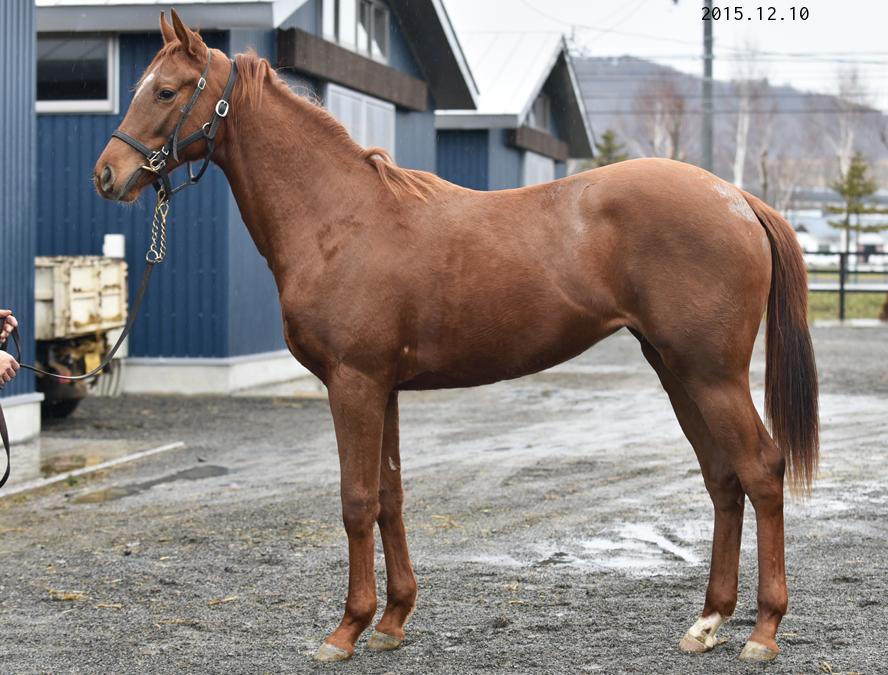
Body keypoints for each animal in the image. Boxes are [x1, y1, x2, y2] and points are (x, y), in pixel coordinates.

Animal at [94, 10, 819, 664]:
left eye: (165, 91)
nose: (108, 174)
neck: (339, 219)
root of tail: (737, 199)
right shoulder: (382, 388)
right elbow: (389, 497)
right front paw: (392, 620)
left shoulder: (354, 384)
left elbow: (356, 501)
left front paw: (346, 629)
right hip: (676, 369)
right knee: (723, 478)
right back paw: (708, 622)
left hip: (711, 374)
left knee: (761, 469)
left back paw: (762, 631)